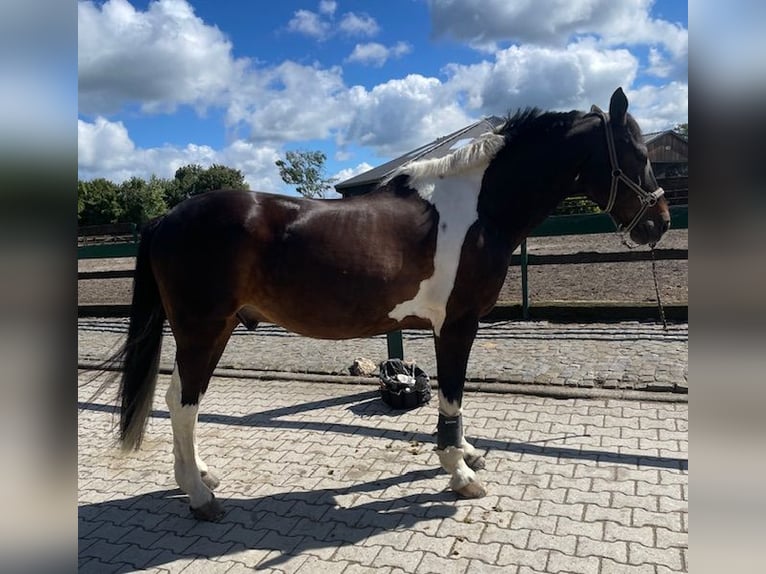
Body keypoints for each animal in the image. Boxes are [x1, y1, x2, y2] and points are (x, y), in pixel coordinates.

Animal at [115, 86, 672, 520]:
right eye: (639, 156)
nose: (659, 222)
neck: (476, 210)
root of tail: (165, 218)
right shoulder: (457, 325)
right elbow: (452, 397)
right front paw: (459, 473)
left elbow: (456, 400)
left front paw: (468, 453)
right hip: (202, 329)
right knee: (184, 404)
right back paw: (199, 496)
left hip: (213, 330)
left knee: (180, 399)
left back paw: (199, 476)